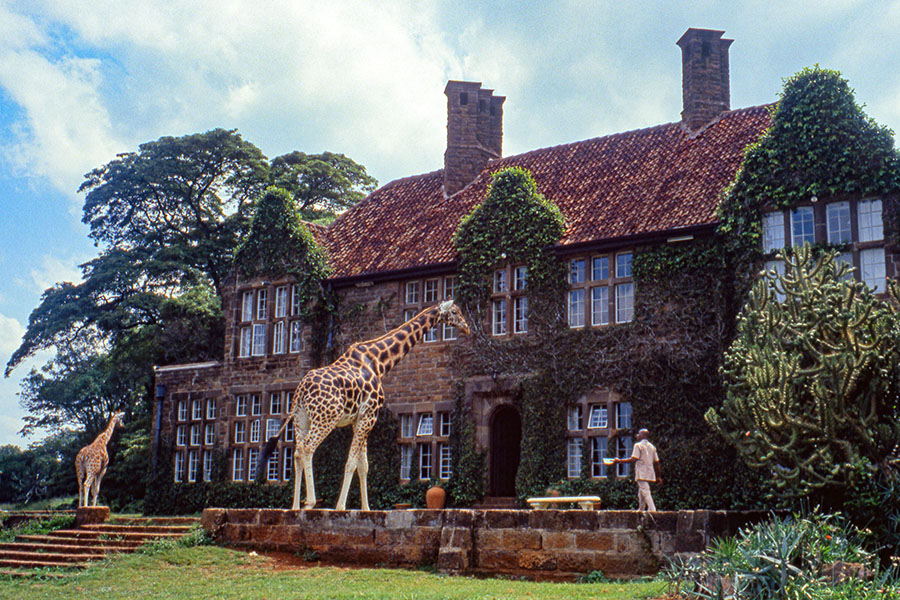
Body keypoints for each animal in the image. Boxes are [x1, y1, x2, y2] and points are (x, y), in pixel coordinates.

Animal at [268, 300, 472, 510]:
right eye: (454, 311)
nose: (467, 328)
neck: (379, 362)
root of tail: (300, 390)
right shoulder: (370, 415)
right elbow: (351, 462)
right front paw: (341, 507)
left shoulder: (359, 419)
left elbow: (363, 465)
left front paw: (366, 508)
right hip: (325, 419)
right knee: (308, 447)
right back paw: (310, 501)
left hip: (301, 418)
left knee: (297, 452)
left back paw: (294, 506)